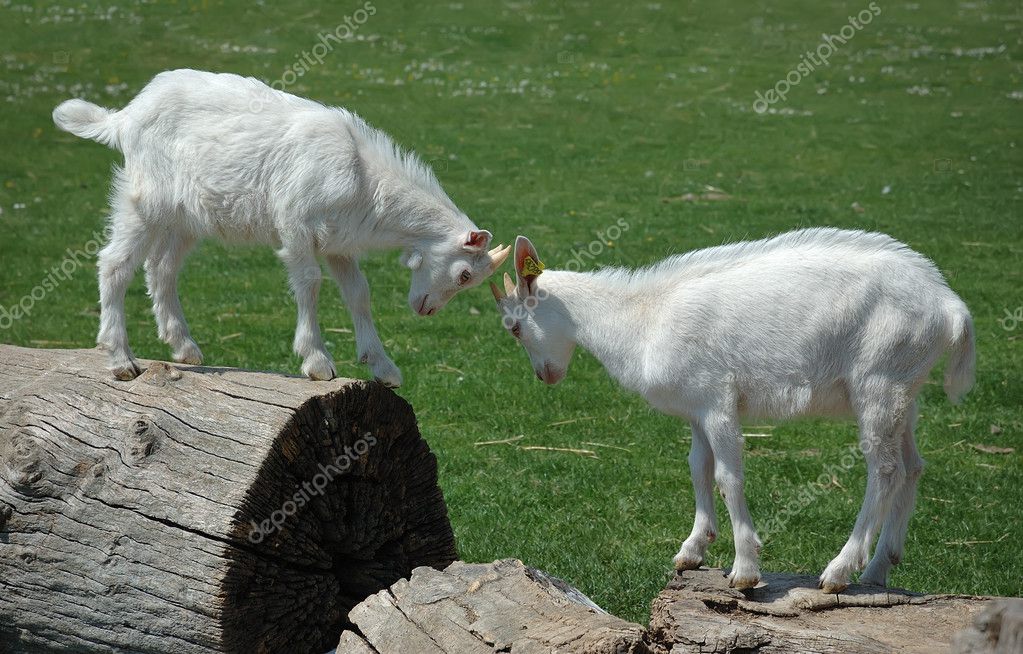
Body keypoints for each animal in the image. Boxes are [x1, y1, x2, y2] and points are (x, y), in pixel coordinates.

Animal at [53, 69, 510, 383]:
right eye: (464, 273)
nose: (425, 310)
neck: (365, 177)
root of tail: (125, 117)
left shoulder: (339, 243)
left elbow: (359, 295)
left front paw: (382, 366)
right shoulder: (296, 226)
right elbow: (309, 283)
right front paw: (317, 360)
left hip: (185, 217)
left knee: (161, 268)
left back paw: (184, 347)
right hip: (144, 200)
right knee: (115, 264)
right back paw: (121, 359)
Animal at [491, 228, 975, 593]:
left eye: (514, 327)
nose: (545, 376)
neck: (642, 321)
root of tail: (951, 306)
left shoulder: (718, 400)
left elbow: (728, 477)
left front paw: (744, 570)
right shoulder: (696, 407)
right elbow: (698, 468)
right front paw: (692, 550)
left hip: (879, 380)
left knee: (886, 470)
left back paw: (839, 571)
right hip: (905, 389)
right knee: (912, 466)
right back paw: (877, 570)